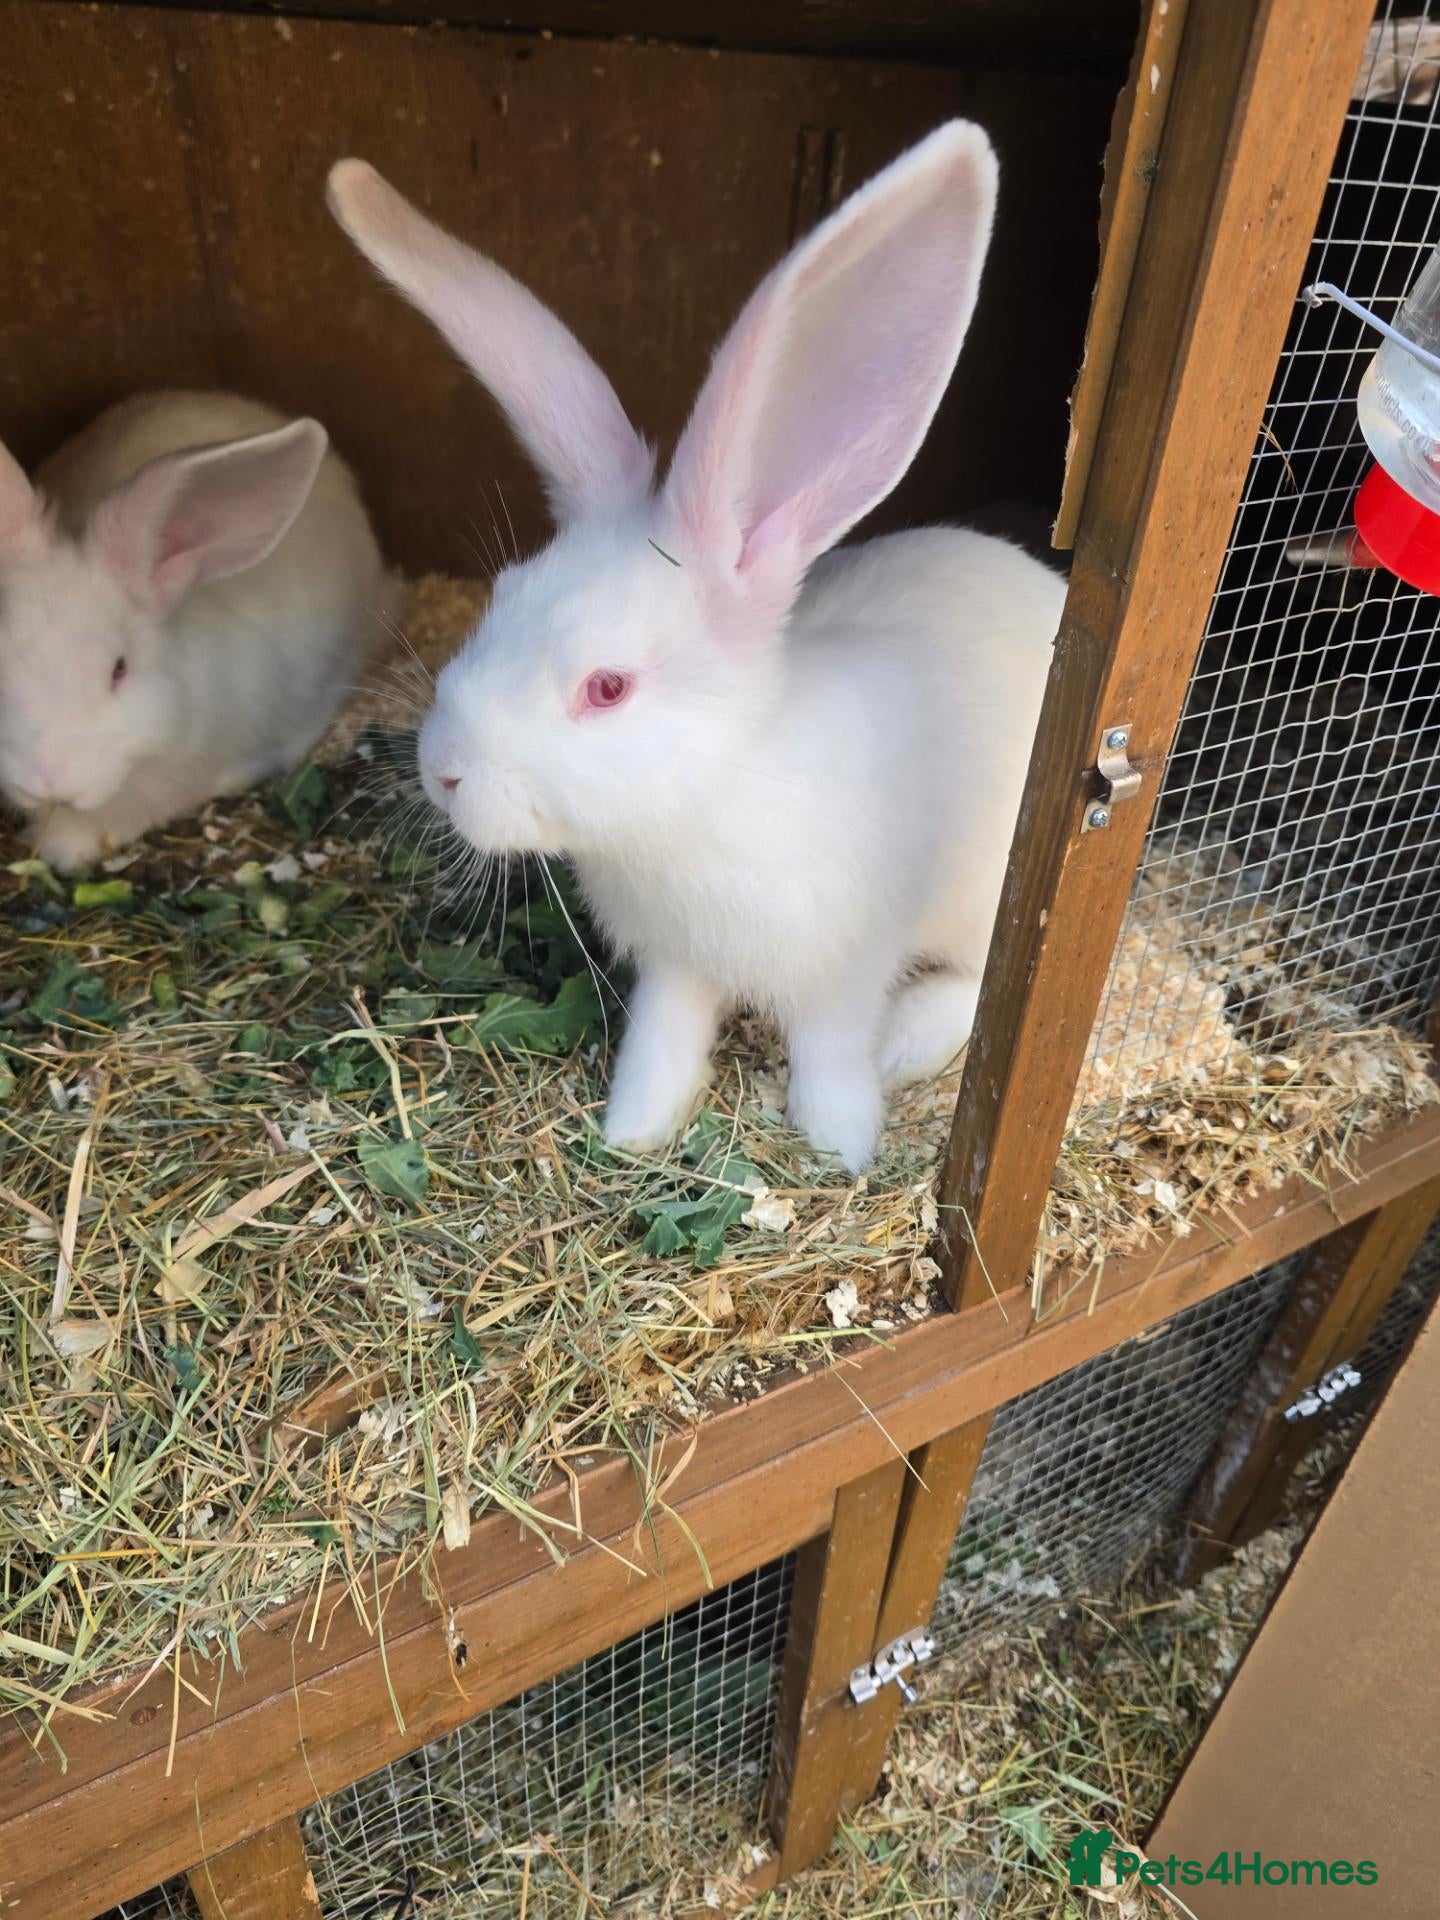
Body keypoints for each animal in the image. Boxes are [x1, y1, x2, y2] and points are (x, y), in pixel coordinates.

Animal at [327, 122, 1065, 1171]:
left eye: (607, 688)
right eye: (499, 601)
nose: (444, 772)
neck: (714, 795)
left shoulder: (844, 965)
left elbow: (831, 1048)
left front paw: (840, 1146)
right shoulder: (674, 967)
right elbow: (663, 1039)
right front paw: (632, 1131)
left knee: (973, 992)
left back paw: (906, 1043)